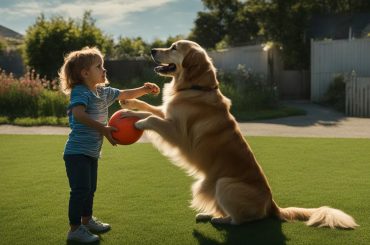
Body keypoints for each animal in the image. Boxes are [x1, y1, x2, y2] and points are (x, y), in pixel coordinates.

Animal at [120, 39, 358, 229]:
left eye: (174, 48)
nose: (151, 50)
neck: (196, 87)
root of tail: (272, 204)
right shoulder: (168, 115)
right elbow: (150, 108)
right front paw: (129, 105)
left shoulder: (179, 134)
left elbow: (151, 118)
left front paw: (138, 122)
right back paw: (208, 214)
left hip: (224, 184)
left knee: (244, 220)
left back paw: (220, 219)